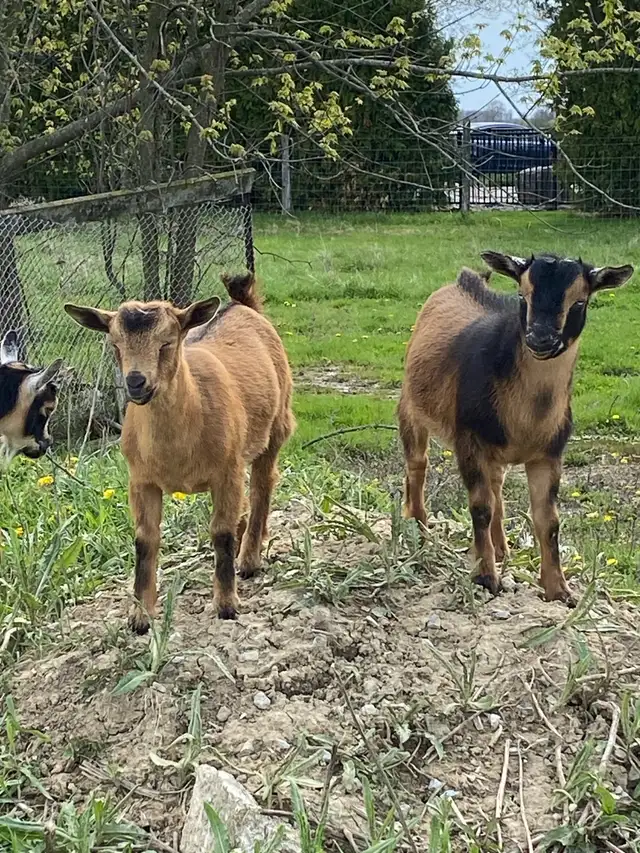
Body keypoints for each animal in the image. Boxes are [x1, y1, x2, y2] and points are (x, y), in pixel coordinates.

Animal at [64, 272, 295, 634]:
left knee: (262, 486)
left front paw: (227, 605)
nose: (136, 382)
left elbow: (220, 532)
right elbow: (145, 541)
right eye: (115, 344)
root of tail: (242, 305)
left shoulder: (225, 471)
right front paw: (140, 617)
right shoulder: (141, 480)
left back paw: (249, 559)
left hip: (276, 426)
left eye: (167, 342)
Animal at [398, 251, 633, 605]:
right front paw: (486, 578)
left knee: (497, 485)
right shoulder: (470, 442)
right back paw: (419, 532)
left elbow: (548, 521)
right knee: (418, 466)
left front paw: (559, 590)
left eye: (580, 301)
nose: (540, 339)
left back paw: (501, 550)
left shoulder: (549, 454)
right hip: (411, 407)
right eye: (523, 295)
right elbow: (480, 508)